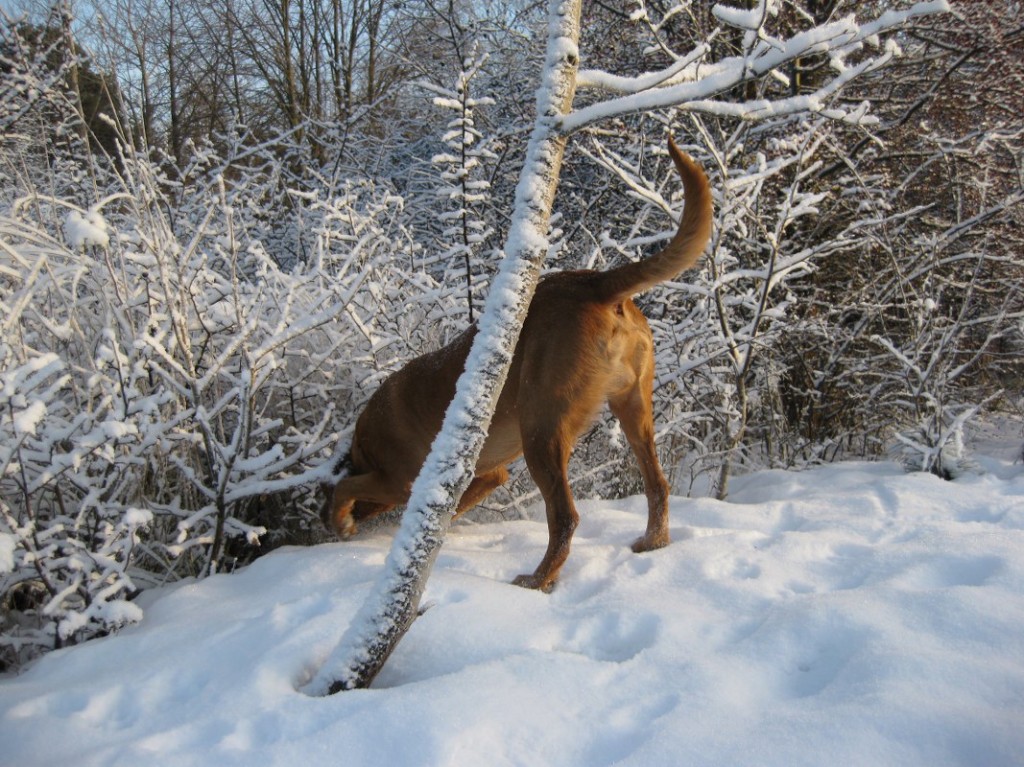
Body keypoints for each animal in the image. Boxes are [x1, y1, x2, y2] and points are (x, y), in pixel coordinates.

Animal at [323, 137, 708, 589]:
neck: (366, 440)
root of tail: (595, 283)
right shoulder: (489, 475)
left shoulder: (396, 480)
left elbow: (345, 488)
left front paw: (341, 522)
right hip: (632, 409)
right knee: (657, 485)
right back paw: (654, 542)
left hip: (541, 428)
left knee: (565, 517)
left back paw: (538, 580)